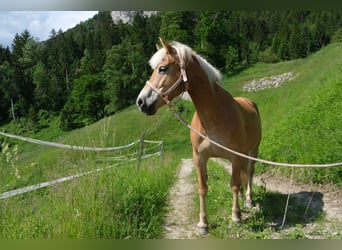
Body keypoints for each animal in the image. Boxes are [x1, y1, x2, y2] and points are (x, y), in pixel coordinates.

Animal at [136, 37, 262, 234]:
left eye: (162, 69)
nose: (141, 102)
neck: (214, 116)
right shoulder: (199, 157)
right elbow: (202, 188)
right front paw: (203, 223)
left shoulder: (234, 156)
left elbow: (234, 185)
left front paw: (236, 217)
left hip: (252, 151)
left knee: (249, 172)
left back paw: (248, 200)